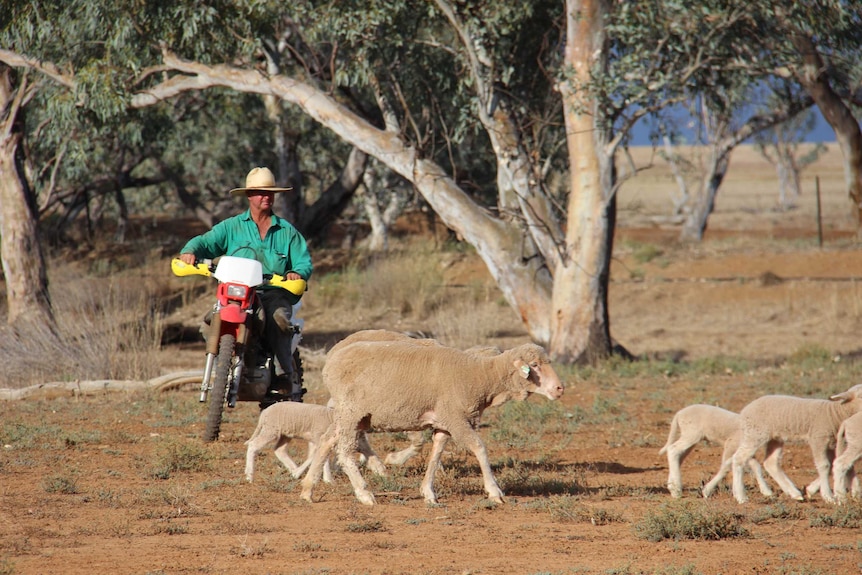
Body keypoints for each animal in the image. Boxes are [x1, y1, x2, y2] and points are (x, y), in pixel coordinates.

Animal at [246, 400, 388, 486]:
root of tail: (264, 412)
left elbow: (318, 457)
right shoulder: (319, 437)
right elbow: (319, 457)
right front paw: (328, 479)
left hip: (285, 434)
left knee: (279, 450)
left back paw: (293, 468)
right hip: (270, 430)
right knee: (253, 446)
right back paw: (249, 476)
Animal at [304, 336, 568, 506]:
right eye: (534, 366)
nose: (559, 388)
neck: (478, 376)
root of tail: (331, 360)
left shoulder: (444, 423)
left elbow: (436, 453)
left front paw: (428, 493)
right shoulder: (456, 419)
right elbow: (479, 448)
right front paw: (494, 491)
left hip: (354, 415)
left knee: (327, 439)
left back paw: (308, 489)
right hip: (351, 411)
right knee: (344, 451)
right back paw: (364, 494)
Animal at [732, 384, 862, 506]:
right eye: (860, 396)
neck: (835, 413)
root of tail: (744, 411)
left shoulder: (831, 443)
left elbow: (836, 465)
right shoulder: (818, 438)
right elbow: (824, 465)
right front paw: (828, 496)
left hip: (775, 438)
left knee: (771, 463)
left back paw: (794, 493)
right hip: (755, 434)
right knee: (739, 458)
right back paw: (741, 496)